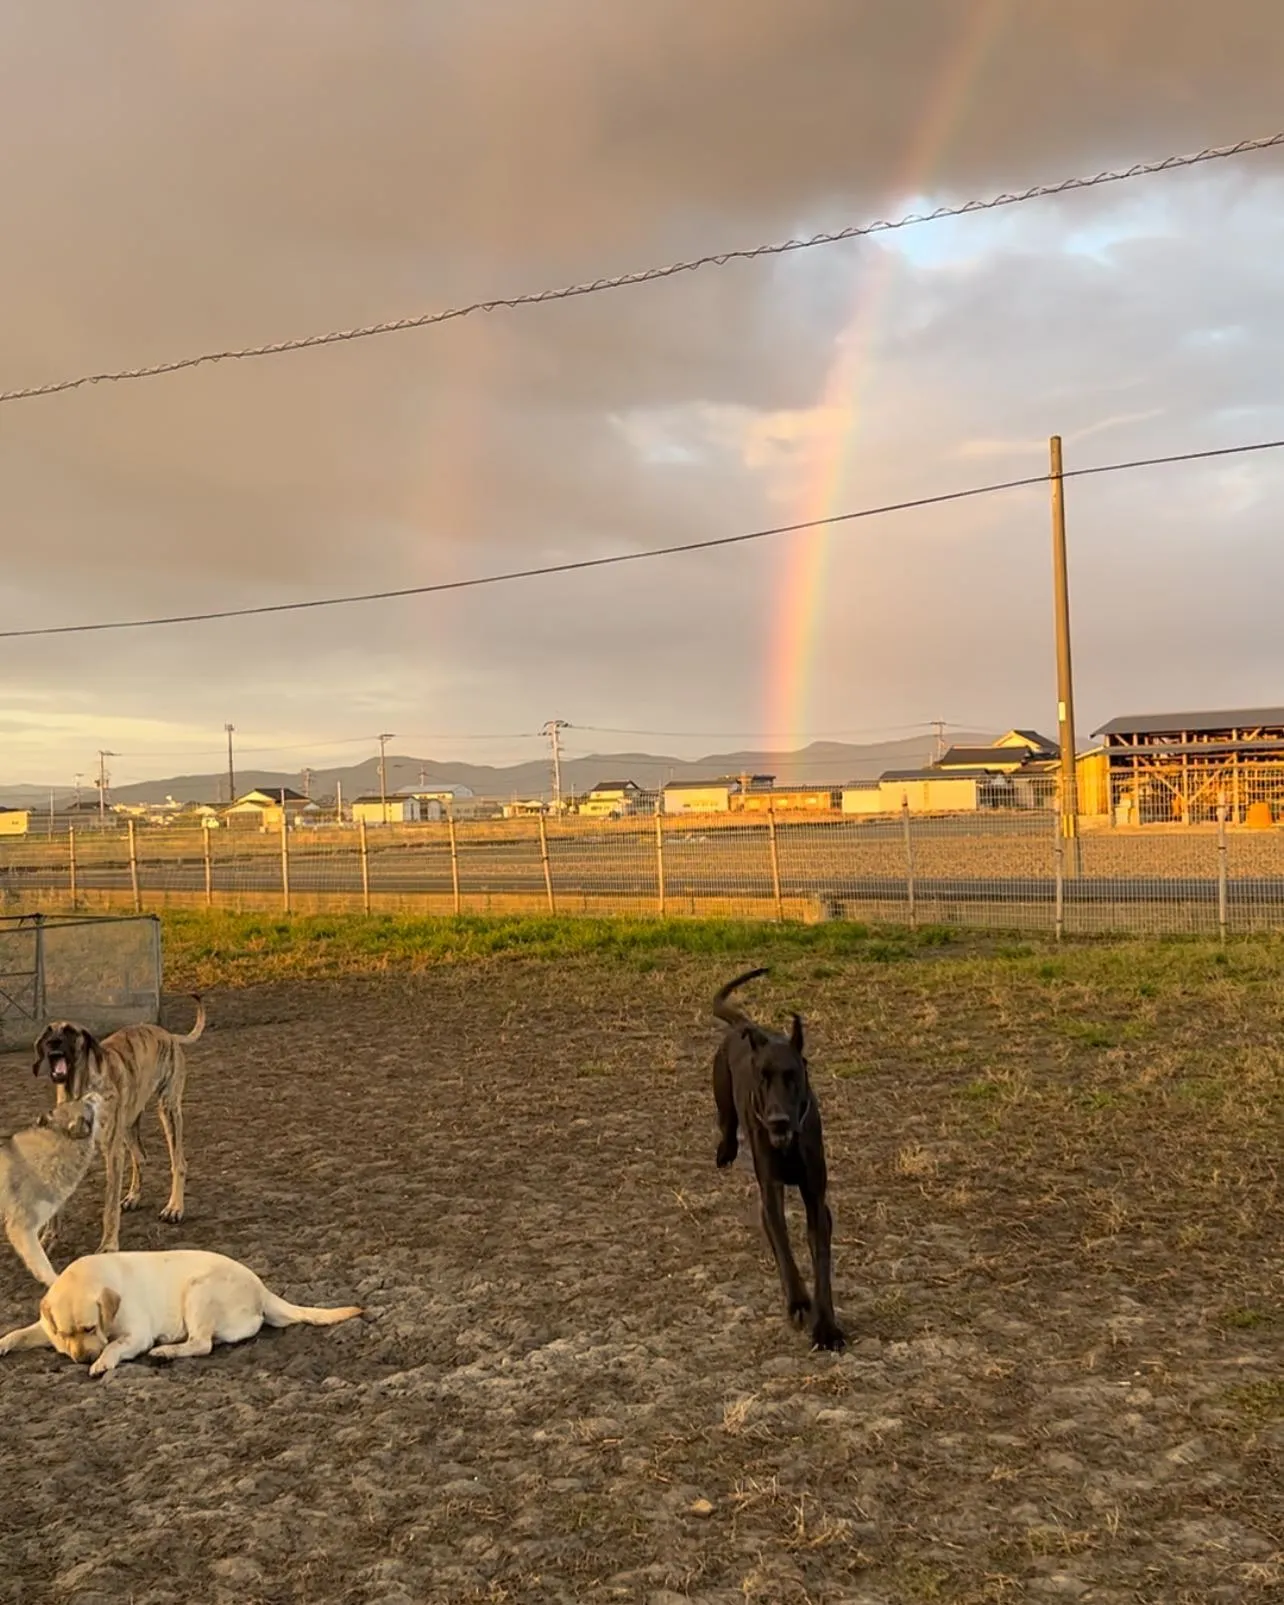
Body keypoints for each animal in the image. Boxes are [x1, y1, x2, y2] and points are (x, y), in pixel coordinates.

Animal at [0, 1245, 364, 1373]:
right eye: (65, 1333)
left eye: (90, 1328)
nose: (81, 1358)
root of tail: (262, 1288)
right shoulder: (45, 1329)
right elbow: (18, 1333)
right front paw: (3, 1343)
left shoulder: (137, 1336)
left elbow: (115, 1346)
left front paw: (102, 1362)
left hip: (198, 1292)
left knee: (202, 1345)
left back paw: (166, 1352)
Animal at [712, 969, 841, 1348]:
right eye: (762, 1078)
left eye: (792, 1075)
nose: (777, 1121)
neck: (789, 1145)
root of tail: (747, 1026)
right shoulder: (771, 1192)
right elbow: (783, 1246)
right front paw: (798, 1303)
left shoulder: (816, 1198)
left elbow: (821, 1259)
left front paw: (827, 1327)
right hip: (722, 1094)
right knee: (727, 1125)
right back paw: (725, 1151)